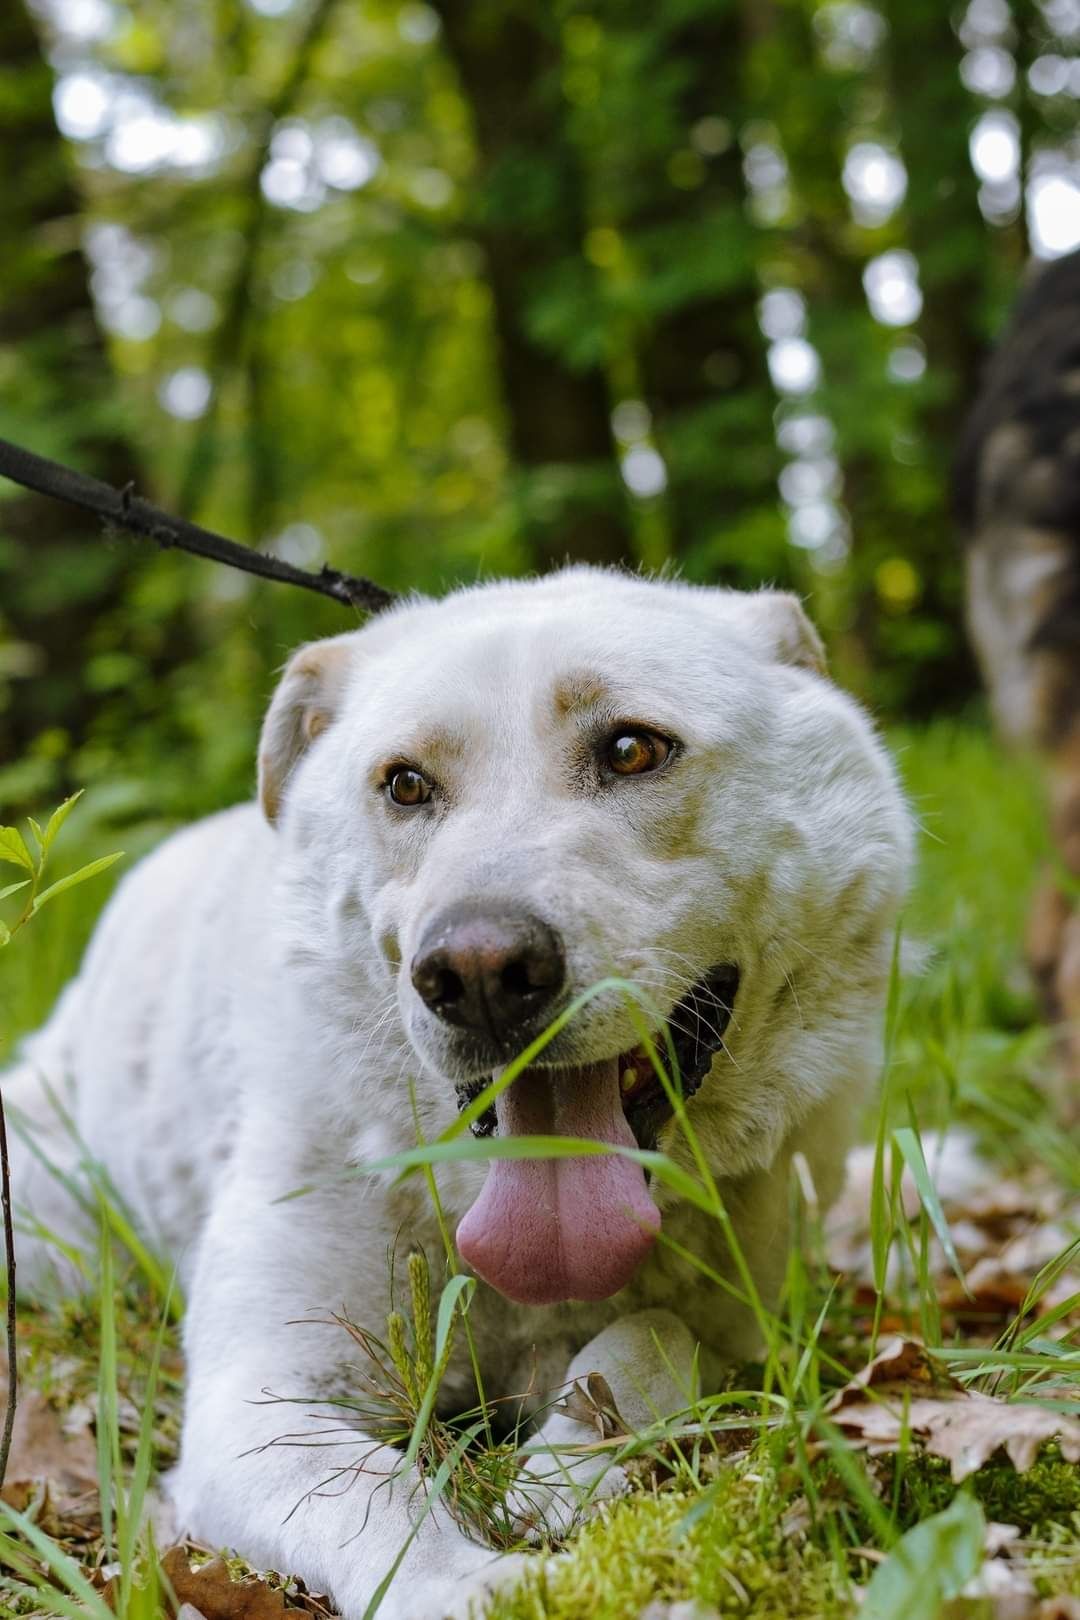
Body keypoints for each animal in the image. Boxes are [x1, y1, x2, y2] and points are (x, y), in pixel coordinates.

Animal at [4, 570, 906, 1620]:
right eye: (405, 784)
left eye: (632, 749)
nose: (478, 973)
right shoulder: (256, 1403)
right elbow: (374, 1492)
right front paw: (475, 1584)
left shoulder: (743, 1325)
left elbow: (658, 1331)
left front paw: (563, 1469)